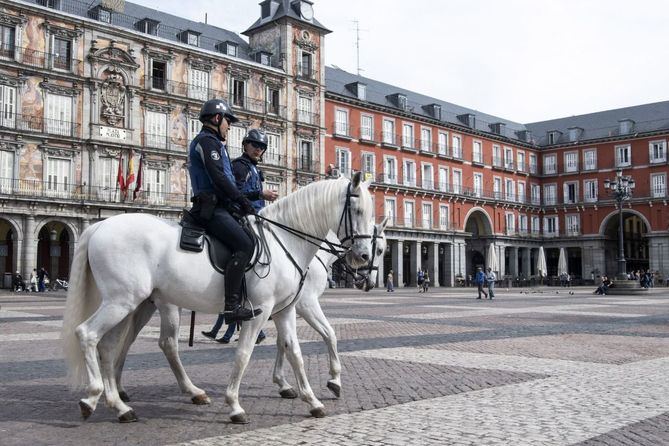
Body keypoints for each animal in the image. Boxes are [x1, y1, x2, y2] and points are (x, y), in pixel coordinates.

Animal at [61, 172, 376, 424]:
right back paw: (94, 397)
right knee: (90, 334)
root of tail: (100, 225)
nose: (364, 259)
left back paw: (121, 404)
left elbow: (294, 352)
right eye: (357, 209)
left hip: (131, 304)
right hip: (124, 302)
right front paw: (235, 405)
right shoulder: (264, 311)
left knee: (110, 346)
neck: (285, 241)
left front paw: (311, 400)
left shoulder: (285, 310)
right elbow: (245, 354)